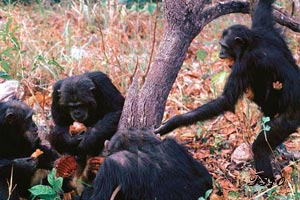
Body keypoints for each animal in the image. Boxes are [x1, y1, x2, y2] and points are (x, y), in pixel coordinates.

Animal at [156, 0, 300, 180]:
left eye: (224, 45)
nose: (221, 52)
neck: (252, 43)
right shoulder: (265, 29)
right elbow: (262, 8)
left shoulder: (244, 63)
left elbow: (226, 100)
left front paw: (173, 123)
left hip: (290, 119)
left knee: (261, 147)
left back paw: (266, 182)